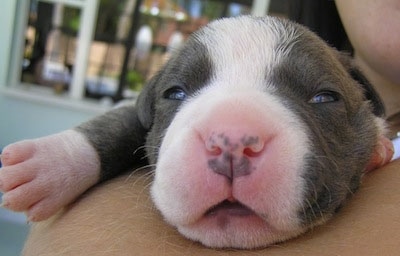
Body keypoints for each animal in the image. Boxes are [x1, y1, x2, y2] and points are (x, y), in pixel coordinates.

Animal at [0, 15, 394, 248]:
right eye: (175, 93)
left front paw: (377, 142)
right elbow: (116, 124)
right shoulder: (140, 111)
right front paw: (48, 164)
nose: (232, 141)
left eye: (325, 97)